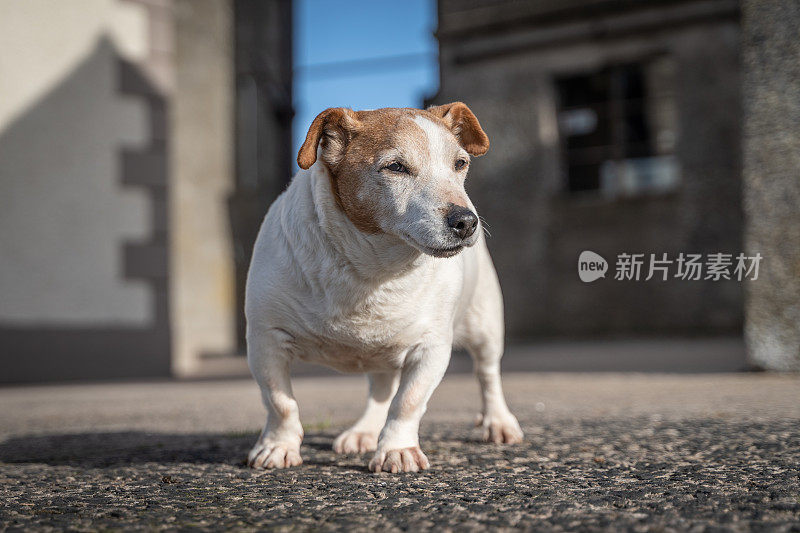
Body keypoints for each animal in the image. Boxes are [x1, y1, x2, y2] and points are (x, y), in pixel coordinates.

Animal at [247, 102, 528, 472]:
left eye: (460, 163)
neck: (376, 269)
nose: (467, 221)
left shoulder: (430, 347)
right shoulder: (266, 339)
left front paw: (398, 448)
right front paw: (278, 446)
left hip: (486, 325)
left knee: (487, 375)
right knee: (380, 389)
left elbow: (408, 401)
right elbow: (280, 401)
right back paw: (364, 431)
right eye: (396, 167)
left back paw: (498, 422)